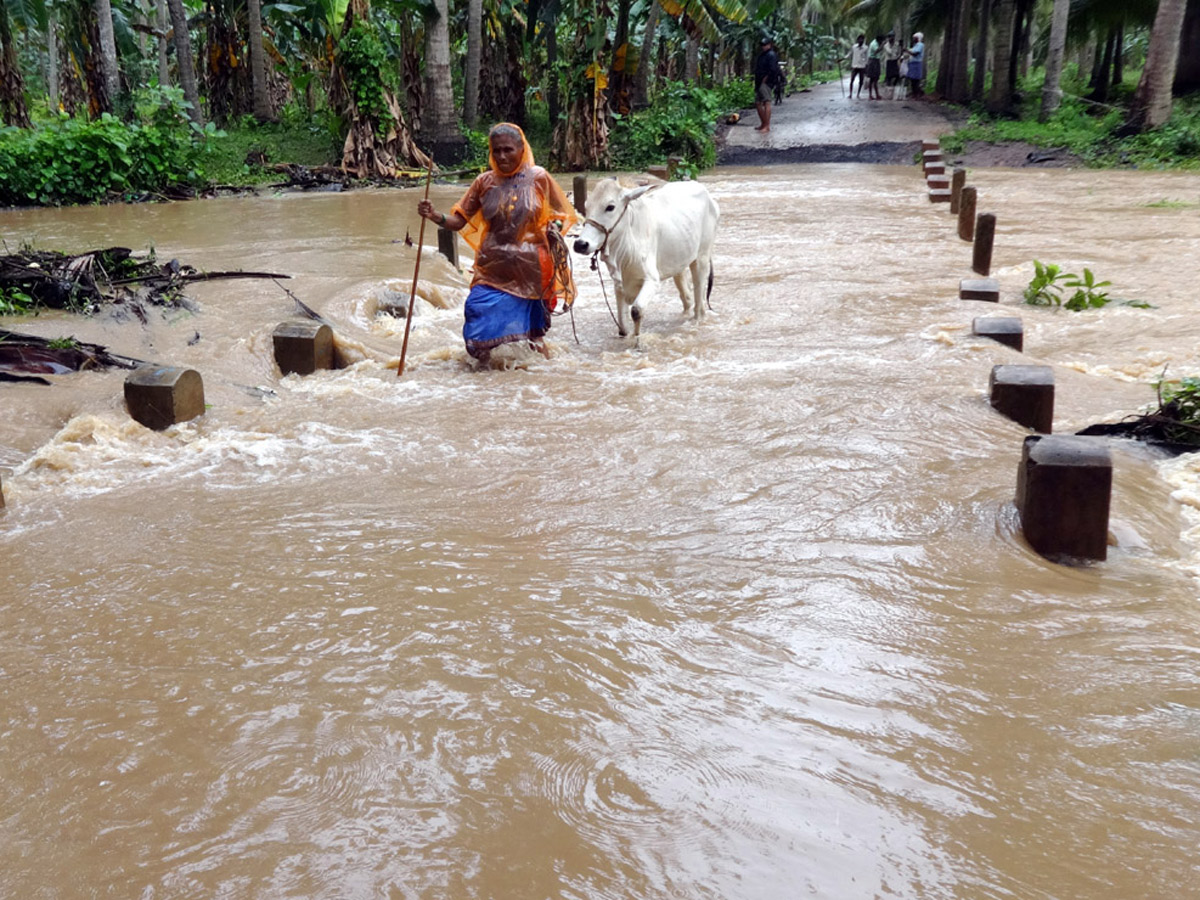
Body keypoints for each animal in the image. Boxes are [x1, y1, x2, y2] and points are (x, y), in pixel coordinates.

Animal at [573, 177, 715, 340]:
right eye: (587, 206)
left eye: (610, 207)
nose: (580, 244)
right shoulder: (619, 284)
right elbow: (622, 325)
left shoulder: (652, 280)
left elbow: (636, 311)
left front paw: (637, 339)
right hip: (680, 260)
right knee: (686, 295)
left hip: (702, 257)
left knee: (699, 297)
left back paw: (697, 319)